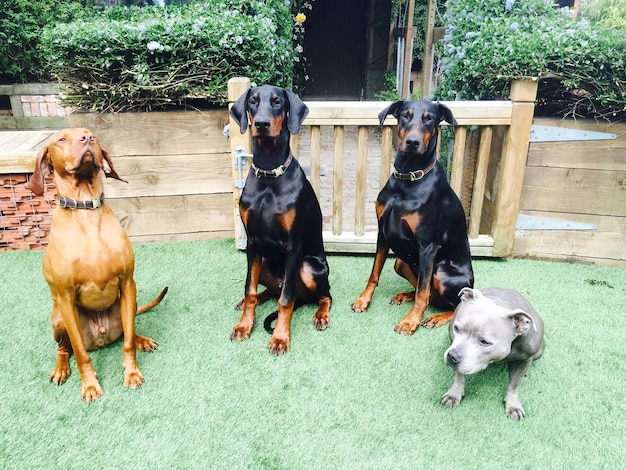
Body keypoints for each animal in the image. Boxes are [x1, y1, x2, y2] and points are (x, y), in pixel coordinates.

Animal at [28, 127, 167, 400]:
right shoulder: (65, 297)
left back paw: (142, 340)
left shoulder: (127, 283)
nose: (88, 139)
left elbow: (127, 342)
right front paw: (90, 386)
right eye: (61, 139)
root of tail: (101, 338)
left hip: (128, 303)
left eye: (91, 134)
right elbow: (81, 355)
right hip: (58, 317)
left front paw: (131, 373)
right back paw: (61, 369)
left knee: (127, 331)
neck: (86, 210)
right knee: (65, 350)